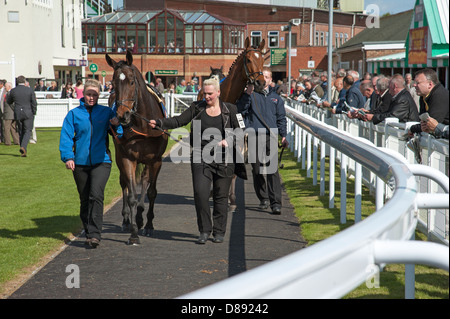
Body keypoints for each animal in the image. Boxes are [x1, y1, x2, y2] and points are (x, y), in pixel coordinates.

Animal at [106, 50, 168, 246]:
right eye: (113, 83)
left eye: (132, 81)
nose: (122, 115)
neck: (143, 125)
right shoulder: (127, 158)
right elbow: (131, 194)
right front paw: (133, 232)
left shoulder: (156, 160)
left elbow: (152, 192)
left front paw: (148, 224)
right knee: (124, 183)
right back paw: (127, 219)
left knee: (145, 181)